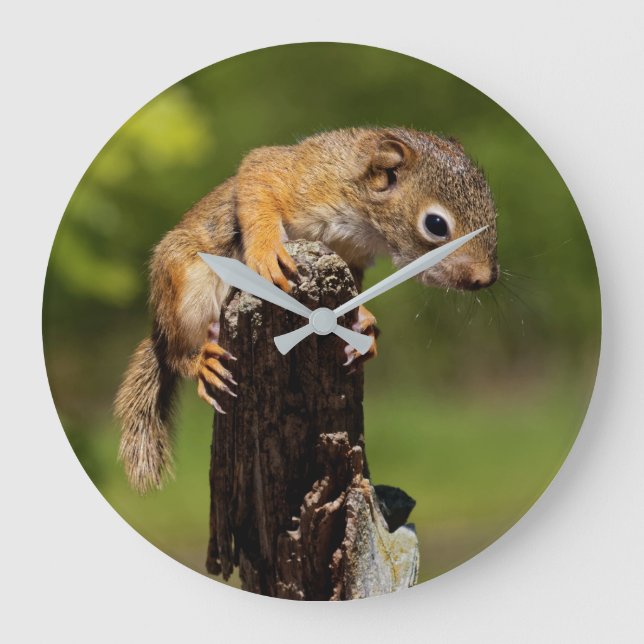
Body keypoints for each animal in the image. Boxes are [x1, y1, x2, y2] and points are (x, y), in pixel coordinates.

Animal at [114, 127, 499, 494]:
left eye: (493, 213)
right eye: (436, 224)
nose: (486, 278)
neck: (366, 219)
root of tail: (159, 328)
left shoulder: (351, 256)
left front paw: (364, 326)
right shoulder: (303, 176)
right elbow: (259, 178)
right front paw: (267, 251)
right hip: (185, 288)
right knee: (176, 353)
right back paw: (201, 358)